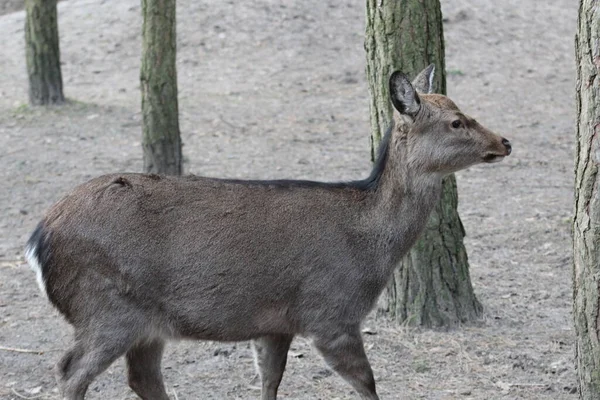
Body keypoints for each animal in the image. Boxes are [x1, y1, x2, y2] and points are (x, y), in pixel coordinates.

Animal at [23, 65, 510, 400]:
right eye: (456, 121)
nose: (504, 142)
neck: (371, 249)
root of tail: (37, 241)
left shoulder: (275, 323)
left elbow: (270, 381)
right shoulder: (330, 313)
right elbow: (367, 384)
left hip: (145, 322)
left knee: (141, 377)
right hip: (106, 308)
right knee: (70, 370)